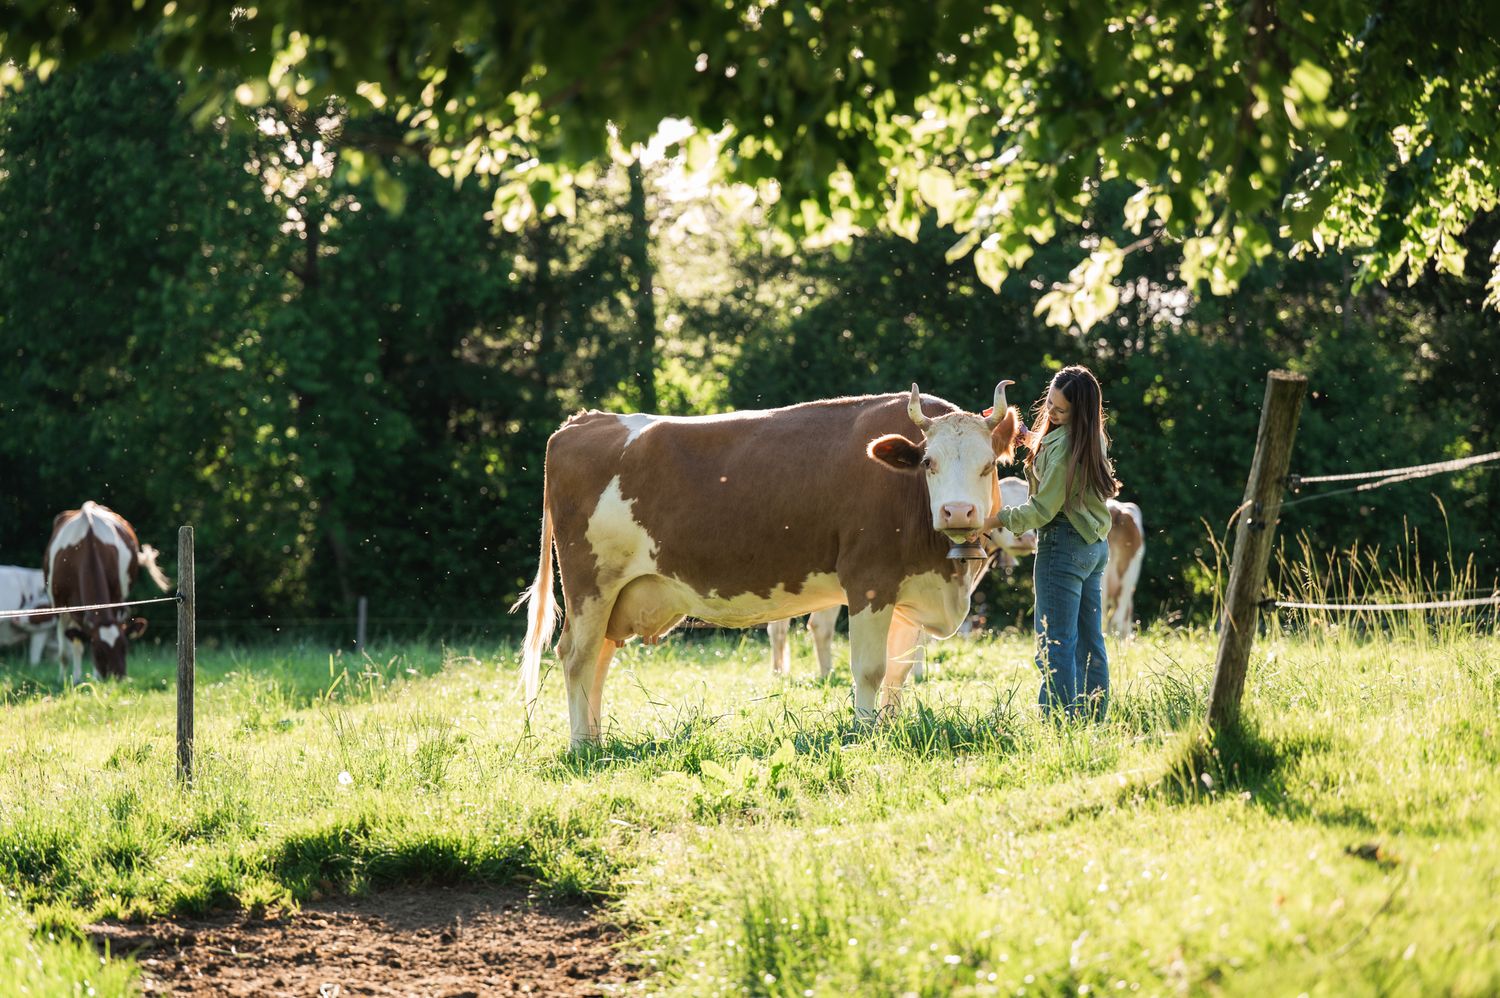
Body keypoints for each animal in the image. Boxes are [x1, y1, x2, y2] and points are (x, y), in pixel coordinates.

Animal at [44, 502, 171, 682]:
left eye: (125, 647)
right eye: (98, 651)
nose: (119, 678)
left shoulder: (117, 599)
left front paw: (95, 677)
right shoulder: (60, 605)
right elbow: (68, 649)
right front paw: (69, 679)